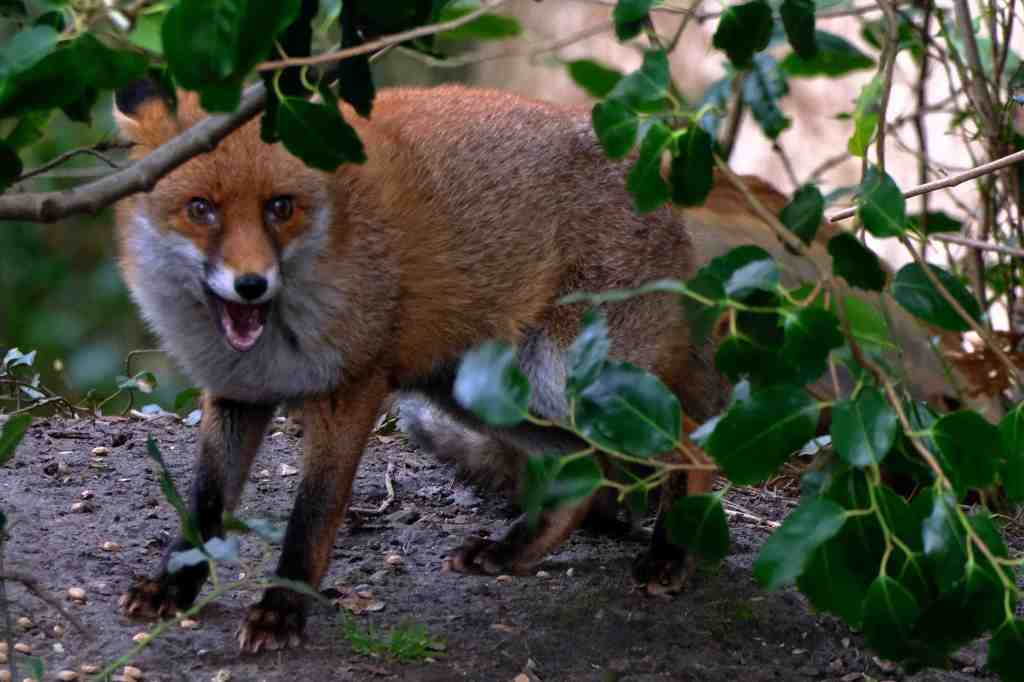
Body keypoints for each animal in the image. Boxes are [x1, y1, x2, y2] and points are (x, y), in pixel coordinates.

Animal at [113, 81, 953, 653]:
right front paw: (176, 585)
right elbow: (202, 504)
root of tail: (655, 184)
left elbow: (311, 520)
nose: (252, 285)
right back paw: (515, 550)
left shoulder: (354, 389)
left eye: (281, 207)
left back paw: (669, 553)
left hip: (564, 375)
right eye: (202, 210)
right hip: (470, 390)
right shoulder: (234, 392)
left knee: (688, 445)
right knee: (585, 473)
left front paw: (283, 609)